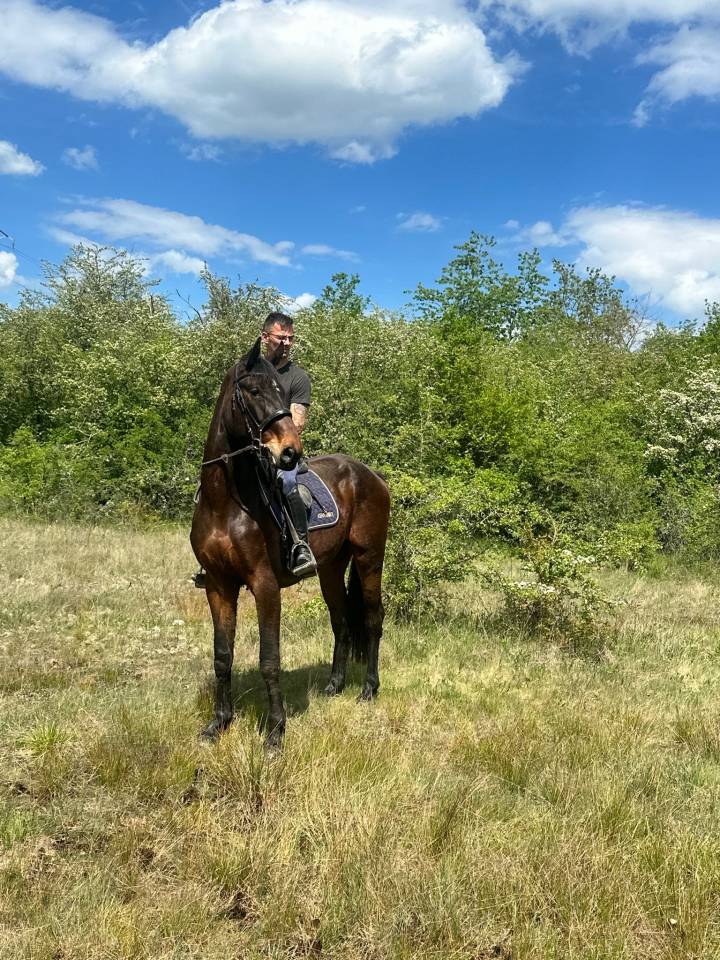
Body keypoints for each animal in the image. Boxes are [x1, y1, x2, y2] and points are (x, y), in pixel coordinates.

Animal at [190, 338, 390, 747]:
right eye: (253, 391)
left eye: (283, 394)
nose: (290, 452)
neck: (226, 503)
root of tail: (373, 475)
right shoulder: (218, 586)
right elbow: (222, 656)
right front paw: (219, 724)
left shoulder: (265, 585)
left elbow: (270, 660)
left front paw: (275, 732)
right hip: (331, 568)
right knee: (341, 619)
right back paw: (334, 685)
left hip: (369, 557)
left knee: (373, 618)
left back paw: (368, 689)